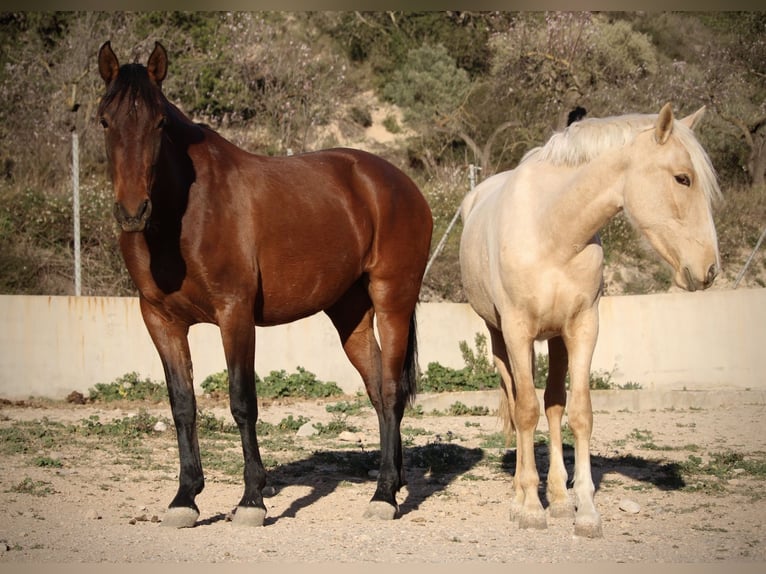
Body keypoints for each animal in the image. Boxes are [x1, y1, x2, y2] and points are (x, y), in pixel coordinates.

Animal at [96, 42, 432, 532]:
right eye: (105, 120)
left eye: (159, 122)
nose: (132, 210)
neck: (186, 213)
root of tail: (400, 183)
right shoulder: (160, 319)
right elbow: (182, 405)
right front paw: (185, 498)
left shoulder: (234, 313)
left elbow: (242, 402)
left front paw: (252, 500)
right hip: (349, 312)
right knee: (377, 391)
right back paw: (393, 480)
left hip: (393, 302)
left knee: (390, 390)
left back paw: (384, 495)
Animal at [460, 104, 724, 540]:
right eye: (682, 178)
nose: (709, 269)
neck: (552, 228)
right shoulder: (517, 331)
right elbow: (525, 411)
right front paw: (529, 508)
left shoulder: (583, 328)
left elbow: (580, 413)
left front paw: (584, 511)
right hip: (499, 338)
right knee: (518, 404)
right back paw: (520, 495)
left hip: (555, 339)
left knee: (553, 406)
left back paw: (558, 499)